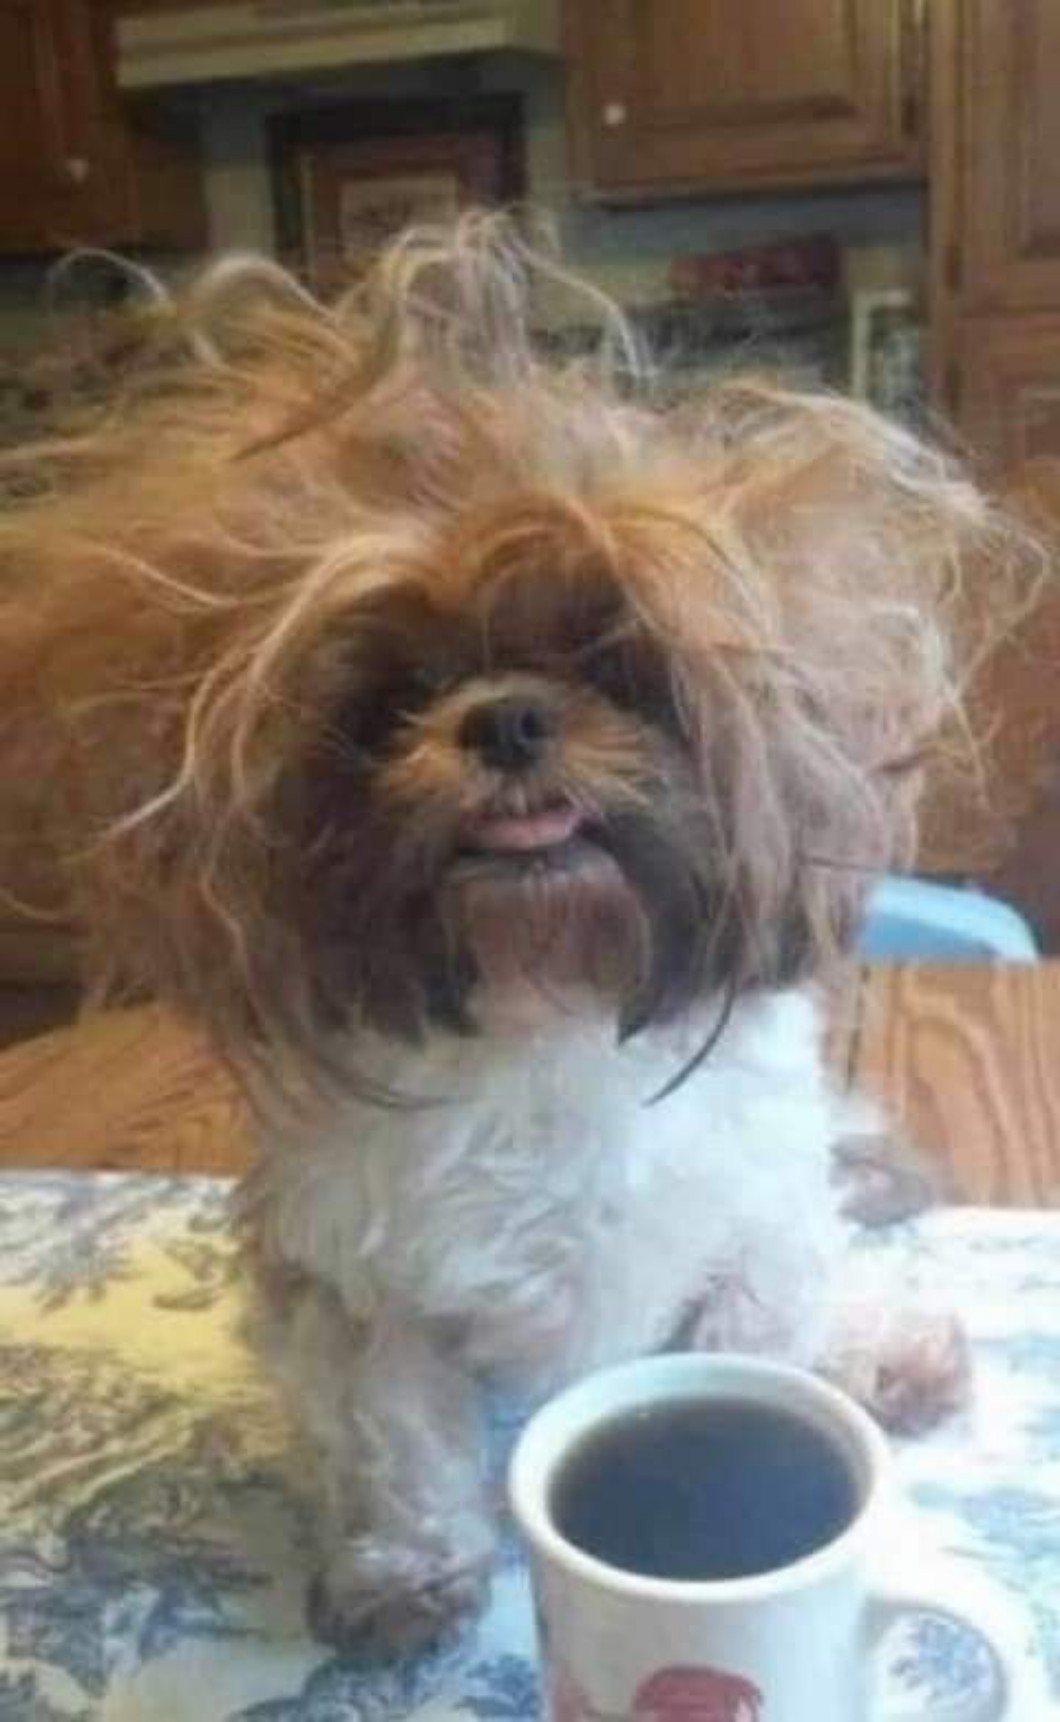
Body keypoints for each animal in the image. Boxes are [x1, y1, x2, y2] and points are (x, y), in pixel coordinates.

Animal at [0, 216, 1032, 1651]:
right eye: (394, 696)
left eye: (612, 661)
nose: (507, 716)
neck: (550, 1000)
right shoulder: (354, 1292)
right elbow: (396, 1440)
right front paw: (405, 1570)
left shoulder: (747, 1234)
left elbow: (759, 1341)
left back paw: (882, 1348)